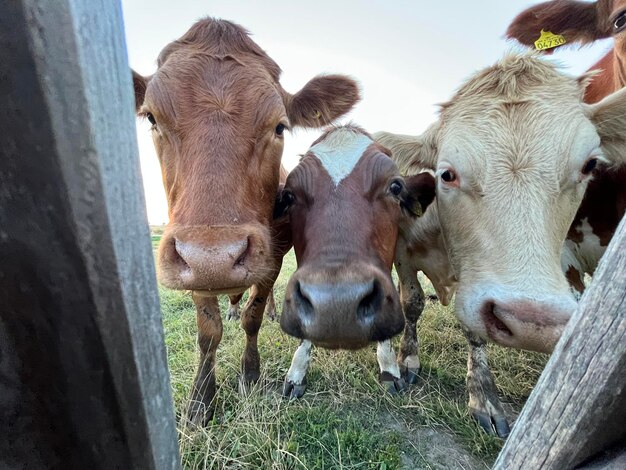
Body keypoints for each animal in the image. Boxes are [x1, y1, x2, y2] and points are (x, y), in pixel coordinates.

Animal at [132, 17, 358, 426]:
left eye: (280, 127)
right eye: (152, 118)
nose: (216, 257)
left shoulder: (273, 255)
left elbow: (253, 316)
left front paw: (249, 374)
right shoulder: (191, 262)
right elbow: (208, 331)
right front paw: (201, 399)